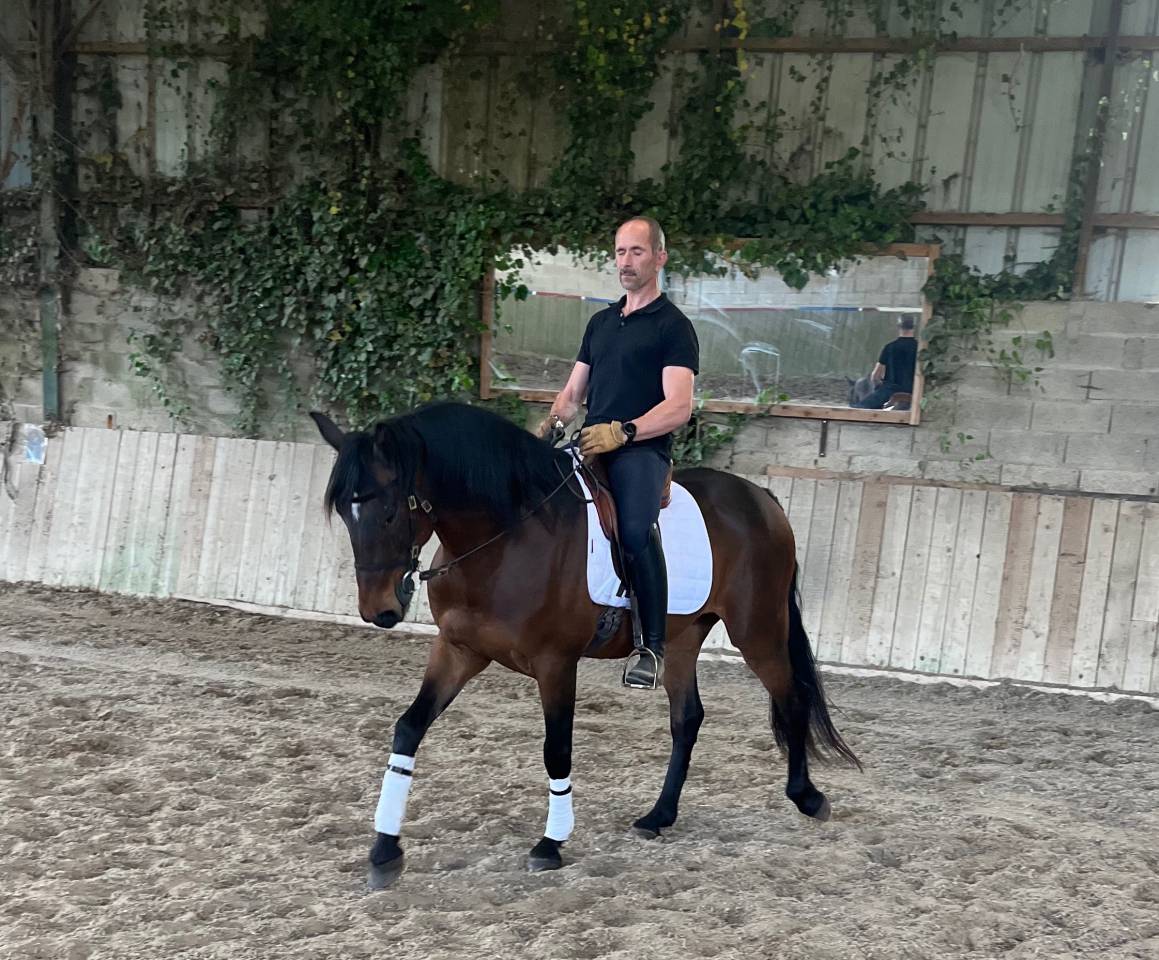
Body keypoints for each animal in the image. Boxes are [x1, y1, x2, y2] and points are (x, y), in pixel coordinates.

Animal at [310, 401, 860, 889]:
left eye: (386, 510)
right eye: (346, 514)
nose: (379, 610)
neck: (505, 536)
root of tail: (760, 497)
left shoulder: (556, 663)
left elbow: (557, 750)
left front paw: (550, 845)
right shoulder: (458, 651)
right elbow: (408, 729)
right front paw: (384, 851)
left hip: (757, 629)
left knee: (790, 696)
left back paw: (807, 797)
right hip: (682, 637)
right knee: (688, 718)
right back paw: (658, 815)